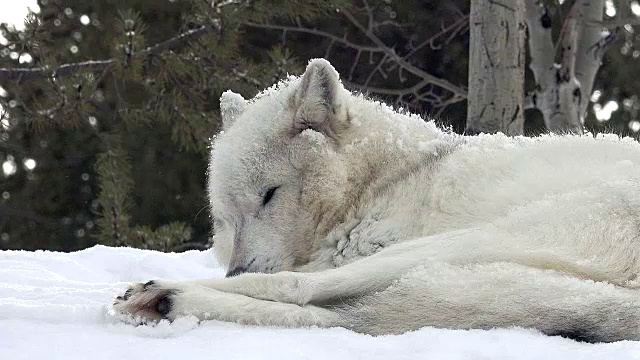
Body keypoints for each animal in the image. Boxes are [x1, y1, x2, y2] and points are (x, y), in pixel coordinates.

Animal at [114, 57, 640, 342]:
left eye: (269, 195)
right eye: (225, 218)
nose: (236, 268)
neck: (384, 180)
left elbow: (296, 280)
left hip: (464, 243)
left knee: (304, 289)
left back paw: (162, 293)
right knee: (345, 318)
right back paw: (164, 301)